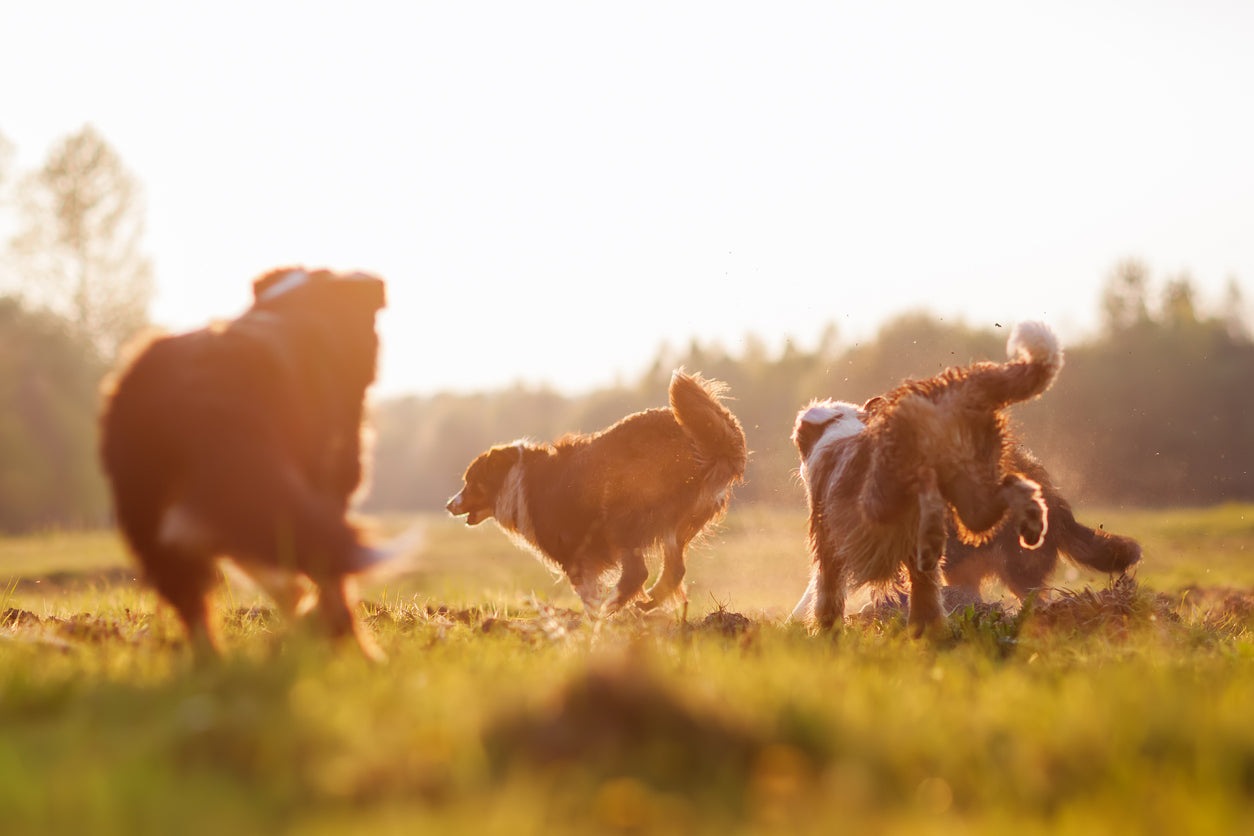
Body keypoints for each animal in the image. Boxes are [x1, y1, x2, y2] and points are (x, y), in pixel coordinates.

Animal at [448, 373, 742, 614]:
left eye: (470, 481)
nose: (449, 505)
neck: (516, 478)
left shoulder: (576, 555)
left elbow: (588, 595)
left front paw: (590, 627)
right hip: (674, 526)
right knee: (674, 571)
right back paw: (645, 604)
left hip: (623, 517)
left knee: (637, 573)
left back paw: (614, 608)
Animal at [787, 320, 1063, 634]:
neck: (837, 426)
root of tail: (947, 391)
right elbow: (925, 595)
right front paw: (925, 631)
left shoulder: (829, 549)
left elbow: (826, 600)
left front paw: (826, 634)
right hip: (973, 497)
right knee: (1013, 491)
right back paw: (1030, 523)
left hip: (884, 493)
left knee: (924, 494)